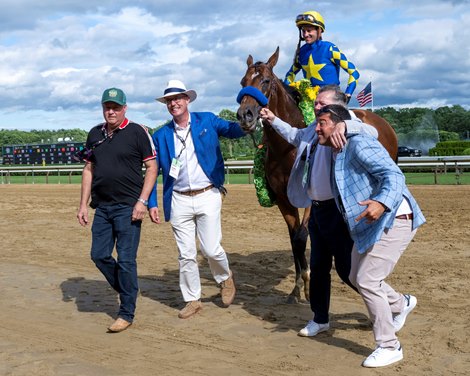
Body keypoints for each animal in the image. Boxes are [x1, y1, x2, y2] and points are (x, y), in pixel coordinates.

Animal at [235, 47, 396, 306]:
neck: (287, 148)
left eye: (266, 80)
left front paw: (310, 287)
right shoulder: (283, 199)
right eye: (243, 82)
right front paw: (297, 288)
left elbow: (302, 236)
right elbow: (294, 240)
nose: (245, 115)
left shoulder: (312, 197)